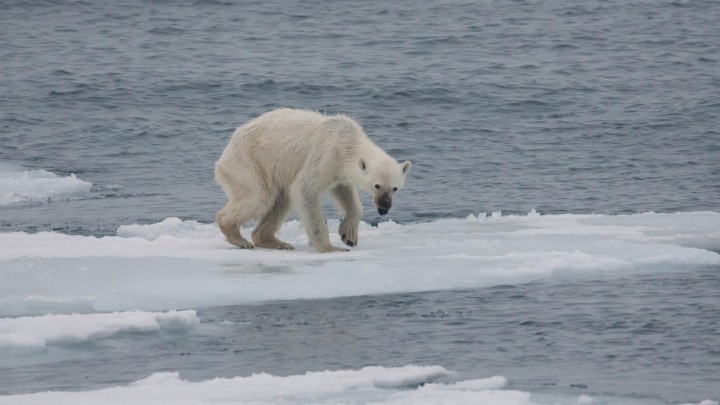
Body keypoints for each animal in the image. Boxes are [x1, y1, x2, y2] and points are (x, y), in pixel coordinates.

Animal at [214, 109, 410, 251]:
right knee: (261, 196)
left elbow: (344, 191)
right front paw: (330, 248)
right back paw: (238, 237)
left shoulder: (338, 171)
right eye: (377, 185)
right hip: (248, 162)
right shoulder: (326, 153)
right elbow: (304, 189)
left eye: (395, 188)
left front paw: (349, 235)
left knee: (281, 199)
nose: (384, 208)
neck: (348, 141)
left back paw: (276, 242)